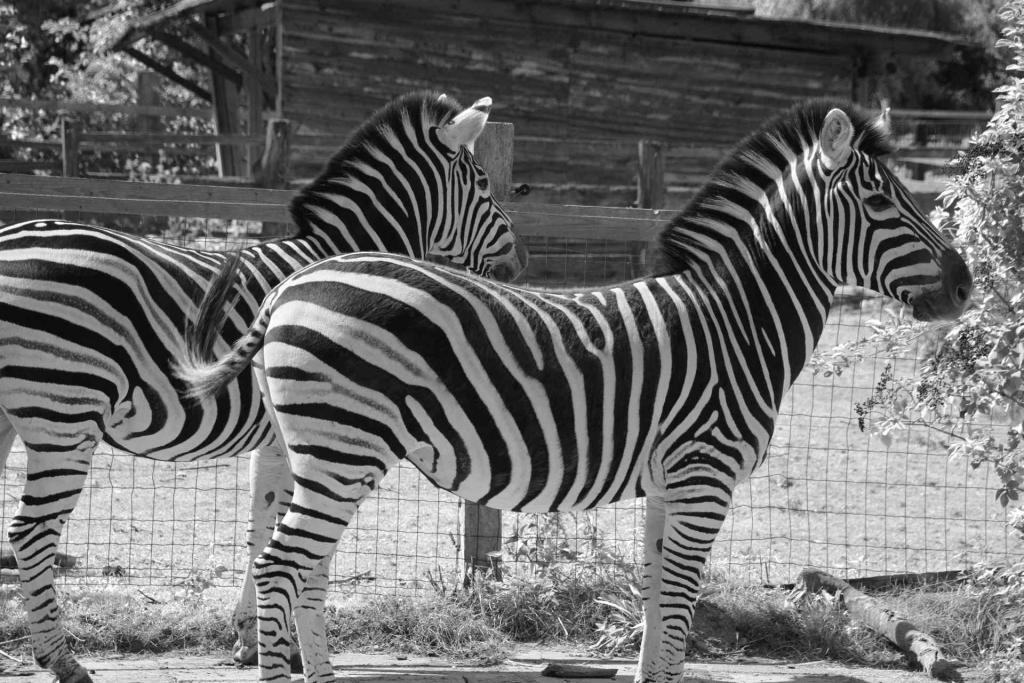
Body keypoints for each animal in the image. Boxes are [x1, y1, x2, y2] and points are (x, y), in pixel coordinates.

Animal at [0, 90, 526, 683]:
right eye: (482, 183)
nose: (520, 264)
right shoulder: (315, 433)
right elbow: (284, 533)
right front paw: (284, 647)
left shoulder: (276, 438)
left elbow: (259, 527)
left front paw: (250, 640)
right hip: (64, 408)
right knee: (30, 533)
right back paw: (63, 660)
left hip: (12, 414)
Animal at [177, 99, 972, 683]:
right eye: (881, 201)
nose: (966, 285)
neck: (738, 321)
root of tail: (294, 281)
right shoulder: (705, 474)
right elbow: (678, 604)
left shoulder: (670, 481)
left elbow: (657, 603)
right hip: (341, 448)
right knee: (282, 566)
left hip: (326, 453)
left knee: (304, 567)